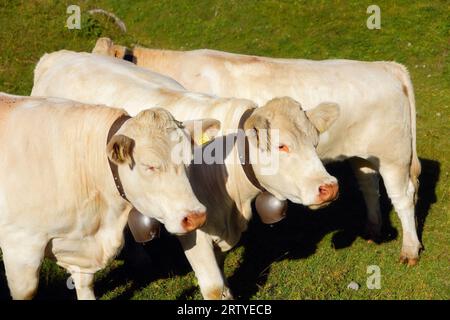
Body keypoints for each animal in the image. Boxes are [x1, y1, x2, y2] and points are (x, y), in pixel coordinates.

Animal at [0, 93, 214, 300]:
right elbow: (26, 292)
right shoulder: (20, 245)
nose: (196, 217)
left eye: (190, 160)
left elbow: (85, 286)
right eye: (149, 166)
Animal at [31, 49, 340, 298]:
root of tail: (59, 56)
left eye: (315, 142)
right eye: (281, 145)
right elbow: (213, 287)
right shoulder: (195, 230)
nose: (329, 187)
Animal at [93, 38, 424, 266]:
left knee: (403, 197)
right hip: (363, 156)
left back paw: (409, 249)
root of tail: (386, 66)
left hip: (394, 157)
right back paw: (372, 228)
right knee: (369, 185)